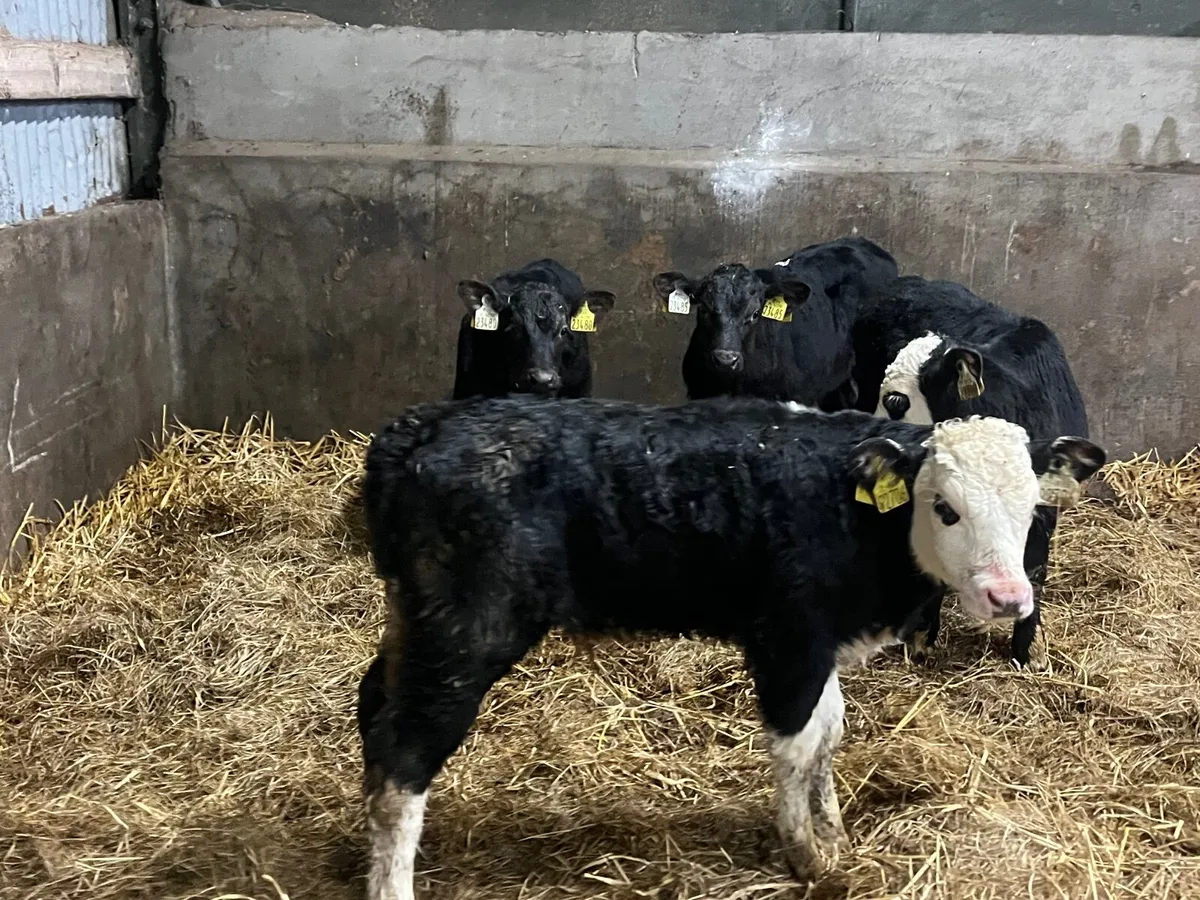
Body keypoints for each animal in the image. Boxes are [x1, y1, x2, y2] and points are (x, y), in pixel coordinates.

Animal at [355, 396, 1104, 900]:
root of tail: (416, 430)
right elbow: (798, 743)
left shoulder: (821, 642)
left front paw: (834, 833)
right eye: (946, 508)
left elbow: (830, 729)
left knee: (374, 705)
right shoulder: (787, 637)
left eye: (1031, 508)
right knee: (407, 757)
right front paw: (807, 856)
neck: (850, 510)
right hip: (469, 630)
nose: (1009, 597)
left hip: (415, 619)